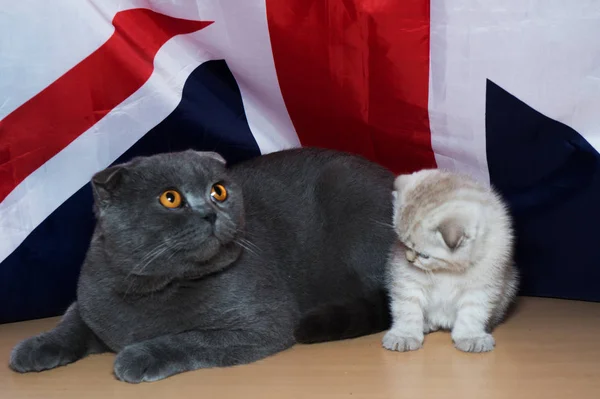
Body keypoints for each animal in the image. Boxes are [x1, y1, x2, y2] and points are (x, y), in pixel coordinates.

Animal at [10, 148, 394, 384]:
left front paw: (139, 355)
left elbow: (191, 338)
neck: (151, 291)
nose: (211, 212)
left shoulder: (263, 323)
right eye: (170, 198)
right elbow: (71, 321)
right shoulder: (91, 298)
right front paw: (33, 348)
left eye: (218, 191)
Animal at [384, 169, 516, 354]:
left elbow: (471, 315)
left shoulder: (481, 289)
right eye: (403, 243)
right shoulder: (408, 283)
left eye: (424, 255)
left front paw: (471, 337)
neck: (446, 271)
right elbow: (408, 312)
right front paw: (404, 335)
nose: (409, 260)